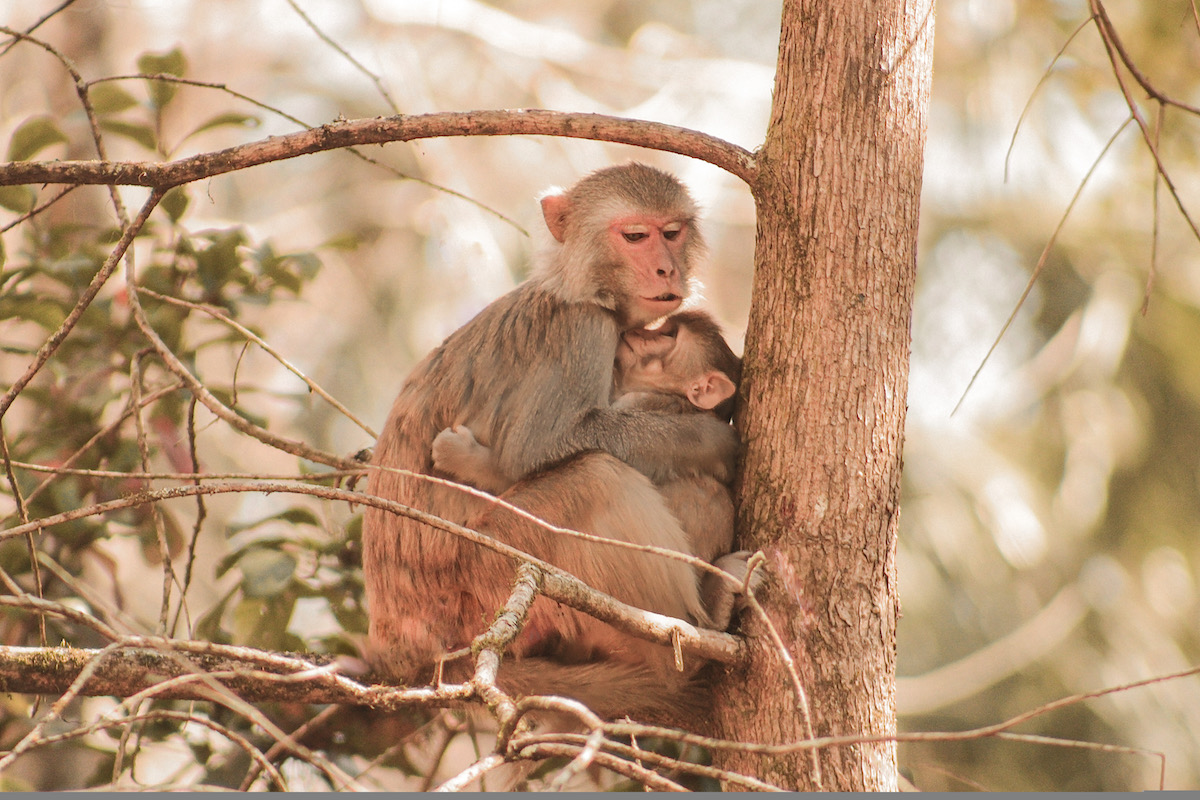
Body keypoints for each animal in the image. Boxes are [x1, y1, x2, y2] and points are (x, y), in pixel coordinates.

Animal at [362, 163, 741, 723]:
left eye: (672, 232)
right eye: (635, 236)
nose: (667, 270)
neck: (578, 287)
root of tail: (410, 655)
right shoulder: (584, 331)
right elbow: (536, 447)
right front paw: (713, 439)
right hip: (486, 577)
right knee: (599, 479)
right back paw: (689, 640)